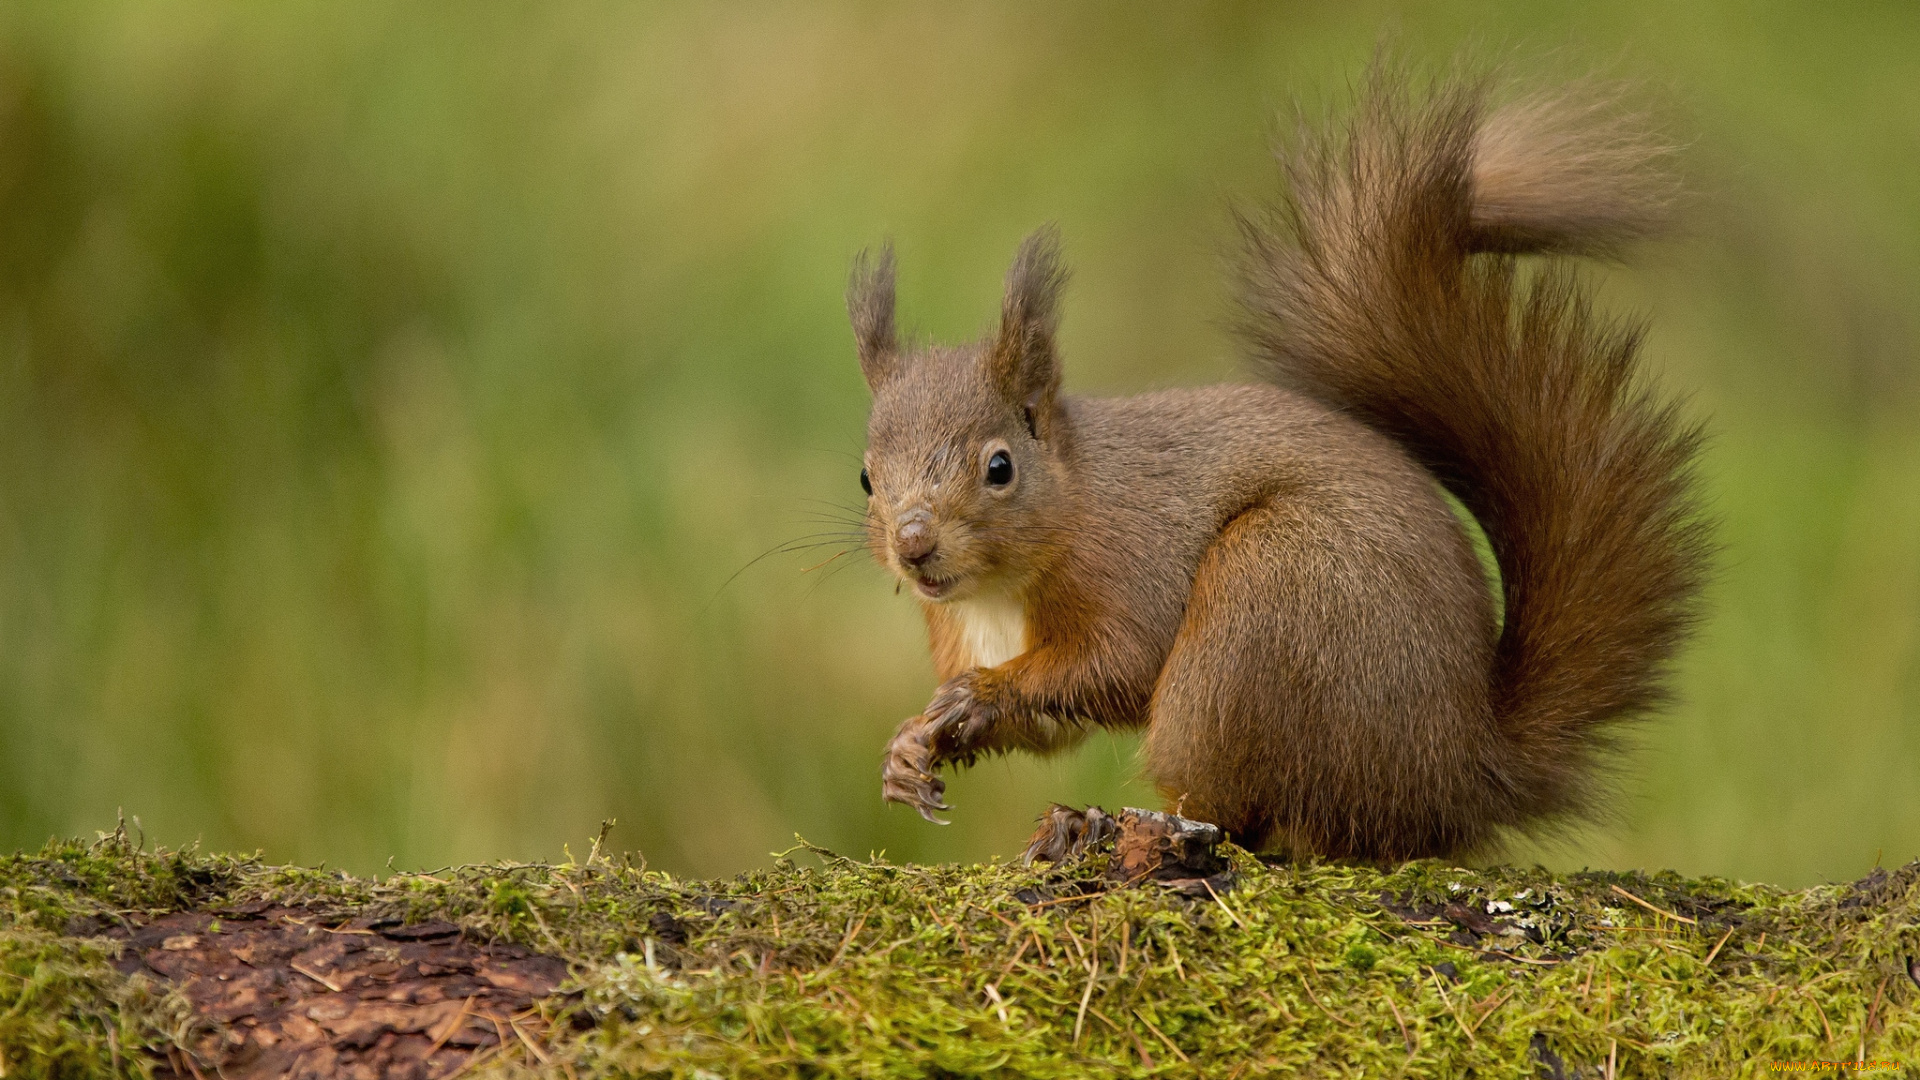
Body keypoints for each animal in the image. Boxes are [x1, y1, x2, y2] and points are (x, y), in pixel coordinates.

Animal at [848, 69, 1704, 857]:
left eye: (1000, 468)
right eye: (866, 477)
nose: (914, 545)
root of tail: (1460, 773)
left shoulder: (1129, 562)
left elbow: (1117, 664)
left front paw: (975, 696)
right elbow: (1048, 727)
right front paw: (910, 747)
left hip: (1265, 607)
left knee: (1256, 817)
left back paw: (1132, 822)